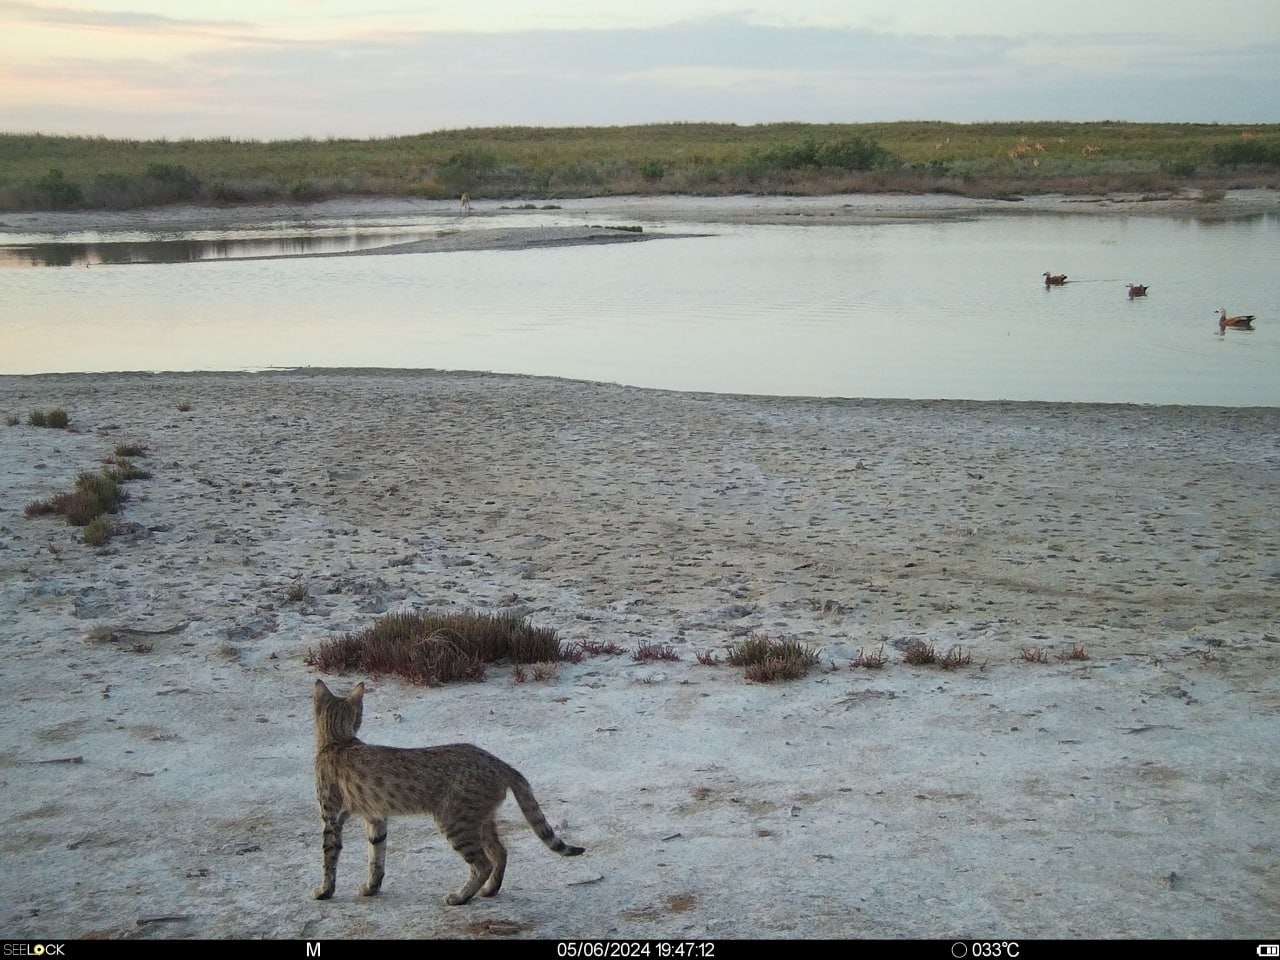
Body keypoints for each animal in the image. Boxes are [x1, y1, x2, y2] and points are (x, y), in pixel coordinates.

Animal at [309, 680, 586, 906]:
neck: (338, 740)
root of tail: (500, 763)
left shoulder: (330, 817)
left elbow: (329, 858)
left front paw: (324, 891)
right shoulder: (376, 818)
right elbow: (376, 857)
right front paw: (371, 888)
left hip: (454, 821)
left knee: (483, 863)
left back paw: (460, 896)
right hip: (480, 820)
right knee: (500, 852)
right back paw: (489, 890)